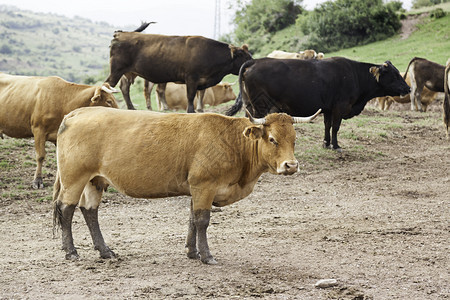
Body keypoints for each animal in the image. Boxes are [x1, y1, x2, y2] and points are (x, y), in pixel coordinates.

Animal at [51, 106, 320, 264]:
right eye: (272, 139)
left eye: (294, 139)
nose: (291, 165)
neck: (232, 142)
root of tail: (77, 113)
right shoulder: (205, 185)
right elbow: (202, 220)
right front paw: (206, 256)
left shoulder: (197, 189)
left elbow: (192, 218)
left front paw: (192, 252)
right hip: (74, 178)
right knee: (66, 209)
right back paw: (71, 251)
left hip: (95, 180)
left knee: (90, 211)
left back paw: (105, 250)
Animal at [103, 22, 251, 113]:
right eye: (244, 57)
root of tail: (122, 33)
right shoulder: (191, 78)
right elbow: (190, 96)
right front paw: (191, 111)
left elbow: (199, 95)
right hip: (117, 70)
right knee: (109, 85)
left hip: (127, 73)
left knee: (124, 88)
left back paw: (131, 108)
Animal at [227, 56, 410, 151]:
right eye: (394, 74)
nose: (408, 88)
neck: (355, 75)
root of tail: (256, 61)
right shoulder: (339, 107)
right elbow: (335, 127)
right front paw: (335, 145)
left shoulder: (328, 108)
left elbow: (327, 126)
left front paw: (326, 143)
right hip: (260, 105)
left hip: (250, 105)